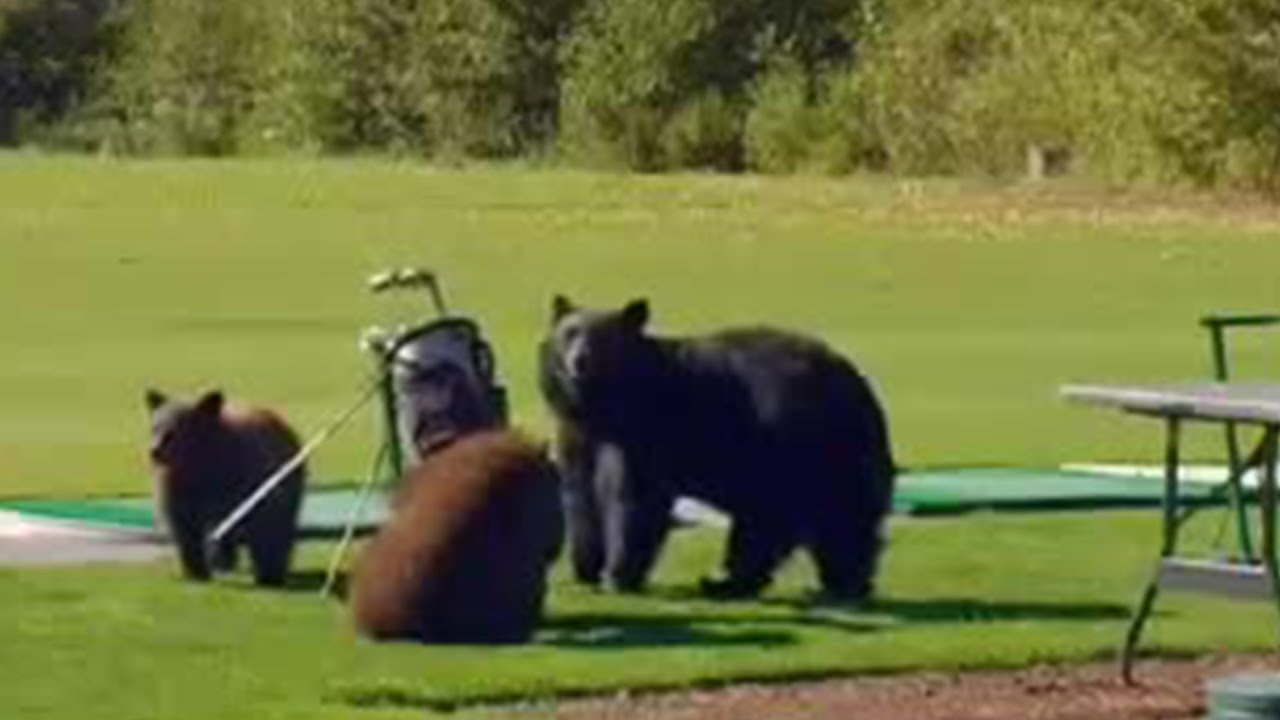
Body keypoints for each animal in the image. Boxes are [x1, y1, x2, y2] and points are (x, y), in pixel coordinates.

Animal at [144, 388, 306, 586]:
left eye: (176, 430)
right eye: (155, 426)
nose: (155, 451)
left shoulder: (247, 478)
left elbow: (267, 519)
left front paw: (270, 573)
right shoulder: (180, 488)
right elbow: (185, 527)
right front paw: (196, 572)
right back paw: (222, 562)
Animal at [538, 295, 895, 601]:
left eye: (604, 338)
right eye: (570, 333)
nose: (579, 360)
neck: (600, 405)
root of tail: (856, 381)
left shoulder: (645, 429)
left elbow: (632, 497)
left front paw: (617, 575)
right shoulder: (579, 436)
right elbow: (581, 496)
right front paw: (585, 568)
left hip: (793, 444)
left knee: (815, 517)